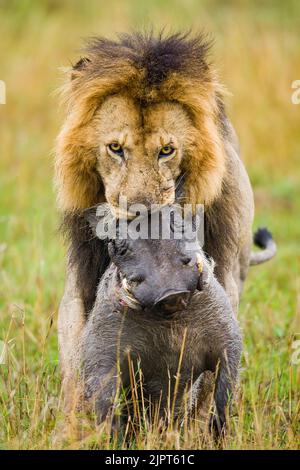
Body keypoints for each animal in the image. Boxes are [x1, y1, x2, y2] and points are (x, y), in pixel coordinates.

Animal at [53, 31, 264, 410]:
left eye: (166, 151)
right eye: (115, 148)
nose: (141, 216)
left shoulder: (219, 281)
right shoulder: (83, 278)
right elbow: (78, 354)